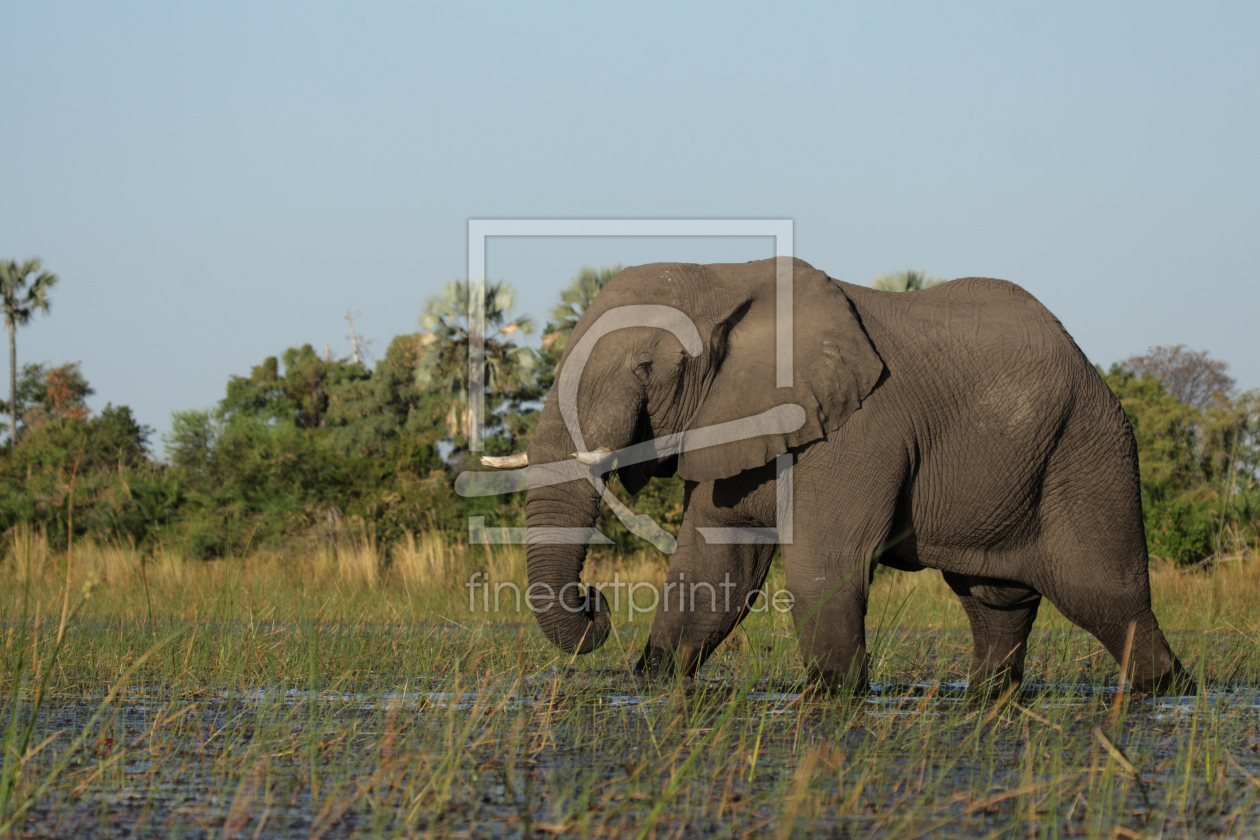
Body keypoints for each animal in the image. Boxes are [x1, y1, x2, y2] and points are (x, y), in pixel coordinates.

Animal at [488, 257, 1192, 696]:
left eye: (643, 367)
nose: (596, 601)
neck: (729, 279)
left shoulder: (857, 430)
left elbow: (822, 565)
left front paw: (833, 694)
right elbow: (713, 566)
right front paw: (654, 680)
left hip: (1089, 451)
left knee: (1106, 597)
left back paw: (1167, 690)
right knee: (995, 600)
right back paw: (988, 698)